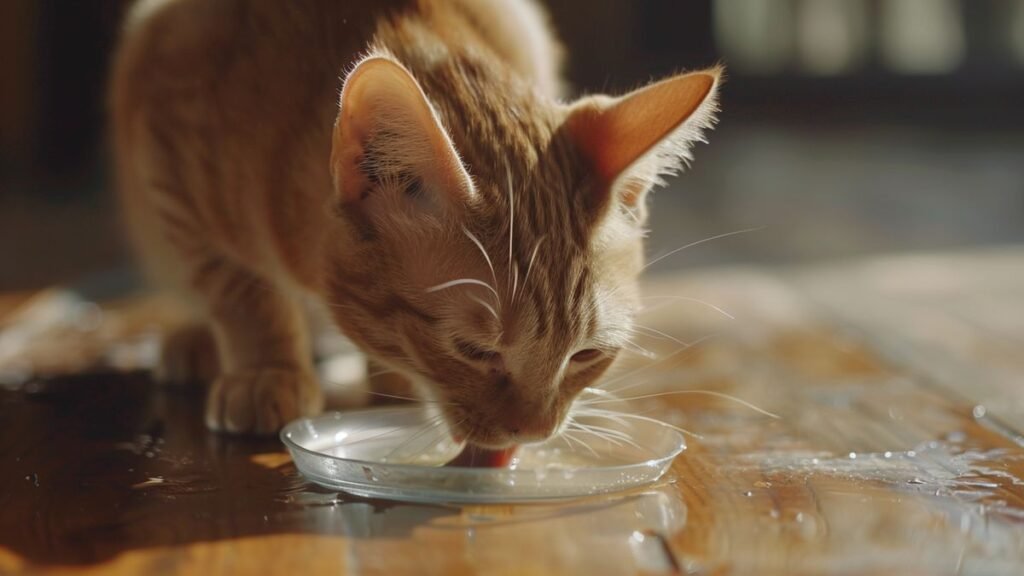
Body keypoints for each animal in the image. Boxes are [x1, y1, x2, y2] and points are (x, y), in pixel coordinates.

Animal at [110, 0, 720, 444]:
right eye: (474, 352)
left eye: (587, 355)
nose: (535, 433)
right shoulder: (163, 148)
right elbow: (239, 288)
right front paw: (267, 370)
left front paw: (394, 380)